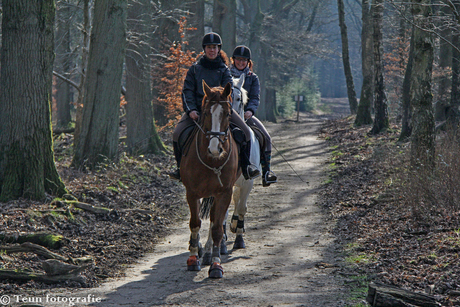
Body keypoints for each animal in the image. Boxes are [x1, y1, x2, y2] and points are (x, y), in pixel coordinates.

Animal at [180, 79, 239, 280]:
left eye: (228, 114)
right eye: (206, 113)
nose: (215, 149)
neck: (211, 160)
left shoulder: (224, 193)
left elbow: (217, 228)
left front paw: (215, 264)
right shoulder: (192, 193)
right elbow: (195, 223)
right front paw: (192, 259)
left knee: (214, 220)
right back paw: (198, 249)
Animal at [203, 75, 260, 264]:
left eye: (239, 99)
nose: (232, 118)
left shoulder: (248, 182)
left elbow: (241, 208)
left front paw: (239, 238)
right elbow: (219, 215)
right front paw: (214, 247)